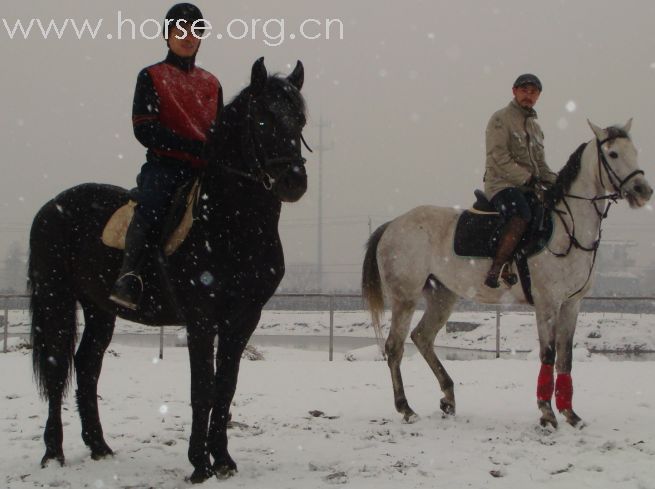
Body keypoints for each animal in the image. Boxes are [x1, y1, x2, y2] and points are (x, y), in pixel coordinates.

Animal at [28, 57, 310, 480]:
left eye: (300, 120)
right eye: (263, 120)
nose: (293, 181)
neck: (229, 225)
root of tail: (50, 207)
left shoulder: (244, 318)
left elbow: (226, 387)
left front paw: (223, 460)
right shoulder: (201, 318)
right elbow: (203, 389)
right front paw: (199, 465)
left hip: (99, 308)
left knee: (88, 365)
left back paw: (100, 447)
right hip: (55, 298)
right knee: (58, 367)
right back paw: (52, 453)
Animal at [362, 121, 652, 428]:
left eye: (633, 150)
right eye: (613, 154)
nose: (643, 190)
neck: (567, 229)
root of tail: (393, 224)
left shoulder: (572, 304)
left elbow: (566, 357)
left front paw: (571, 414)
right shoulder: (547, 304)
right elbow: (548, 353)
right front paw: (547, 413)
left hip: (443, 296)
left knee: (422, 337)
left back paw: (448, 397)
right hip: (405, 298)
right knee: (395, 347)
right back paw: (405, 408)